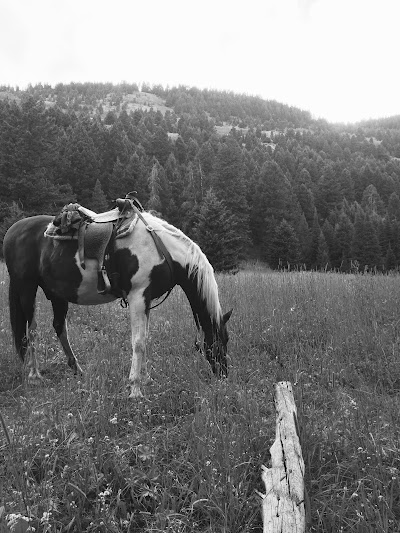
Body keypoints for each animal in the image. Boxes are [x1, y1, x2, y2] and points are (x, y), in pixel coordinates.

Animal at [2, 206, 231, 396]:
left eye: (227, 340)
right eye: (216, 343)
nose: (223, 375)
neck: (161, 249)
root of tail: (13, 230)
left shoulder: (146, 300)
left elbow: (144, 338)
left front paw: (145, 379)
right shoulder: (138, 297)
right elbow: (137, 342)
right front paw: (135, 390)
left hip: (57, 294)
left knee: (59, 326)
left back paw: (77, 370)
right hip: (26, 289)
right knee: (31, 330)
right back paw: (34, 376)